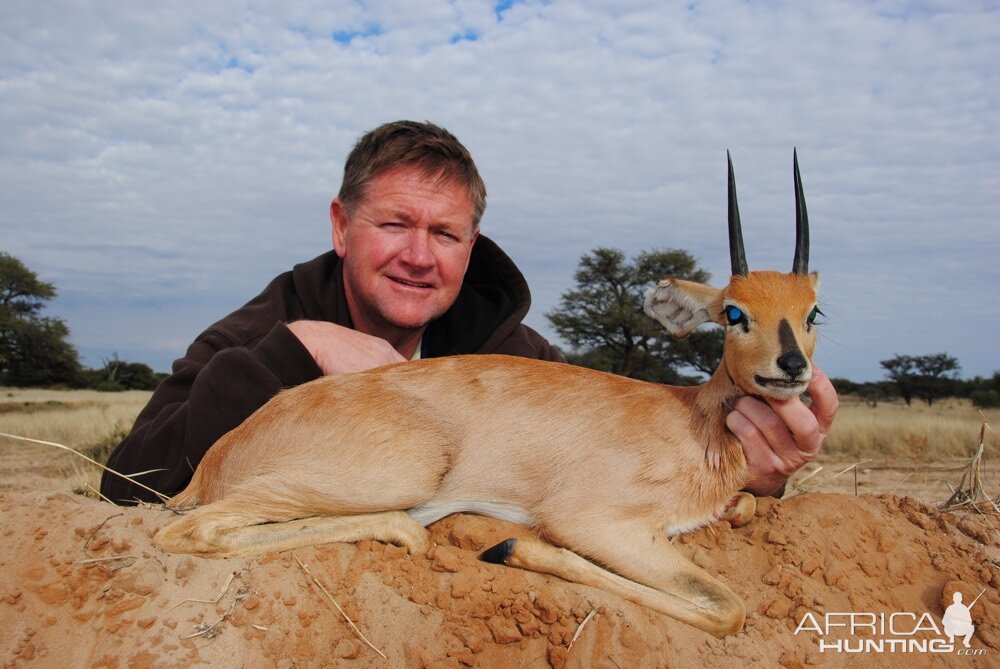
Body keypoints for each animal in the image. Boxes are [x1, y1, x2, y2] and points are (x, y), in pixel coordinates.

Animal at [154, 151, 820, 636]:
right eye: (734, 312)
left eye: (814, 311)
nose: (792, 368)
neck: (690, 422)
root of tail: (220, 453)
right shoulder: (594, 522)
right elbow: (728, 608)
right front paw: (511, 550)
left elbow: (746, 512)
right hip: (401, 473)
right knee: (187, 531)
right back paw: (408, 533)